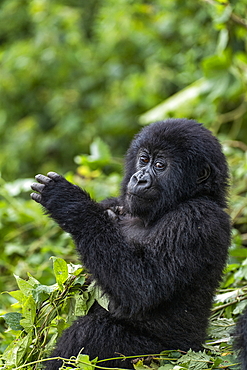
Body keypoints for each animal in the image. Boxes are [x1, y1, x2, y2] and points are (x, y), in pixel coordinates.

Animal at [31, 119, 232, 370]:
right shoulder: (117, 202)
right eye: (143, 160)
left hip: (166, 357)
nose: (139, 178)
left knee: (93, 333)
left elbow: (142, 286)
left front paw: (69, 203)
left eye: (159, 165)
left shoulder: (198, 217)